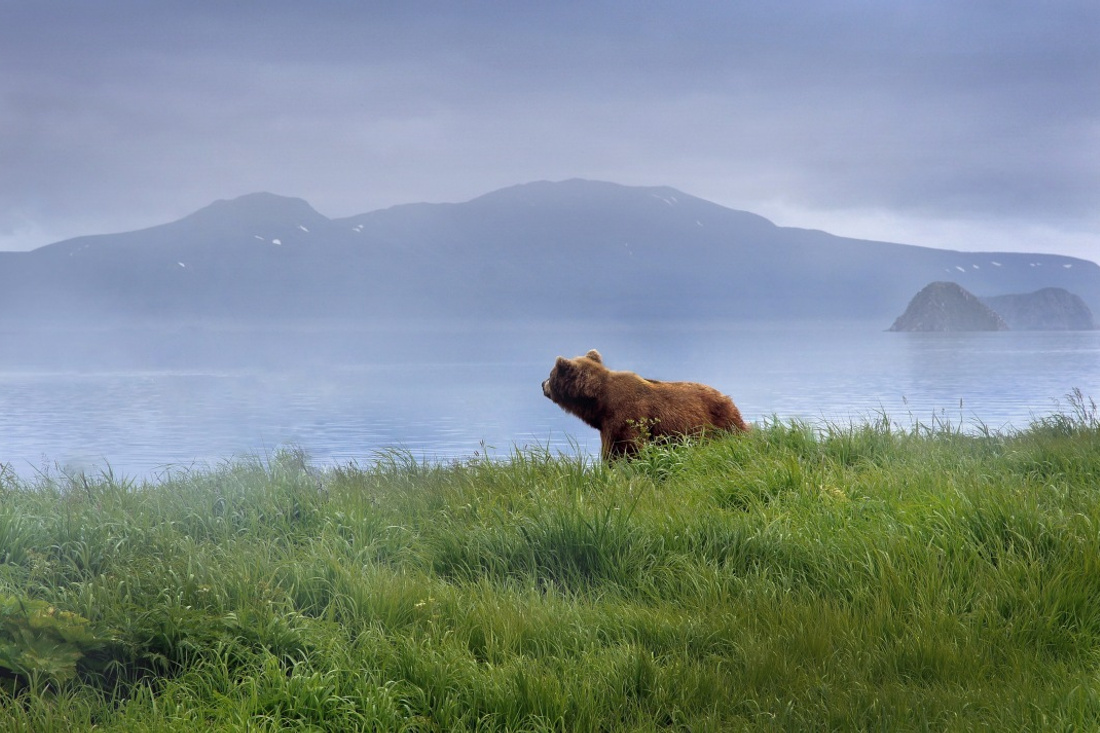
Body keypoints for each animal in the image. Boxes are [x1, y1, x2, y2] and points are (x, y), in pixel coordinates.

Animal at [541, 347, 748, 457]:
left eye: (551, 374)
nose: (542, 384)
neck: (599, 403)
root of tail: (727, 398)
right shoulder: (608, 425)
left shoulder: (627, 416)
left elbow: (628, 449)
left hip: (721, 422)